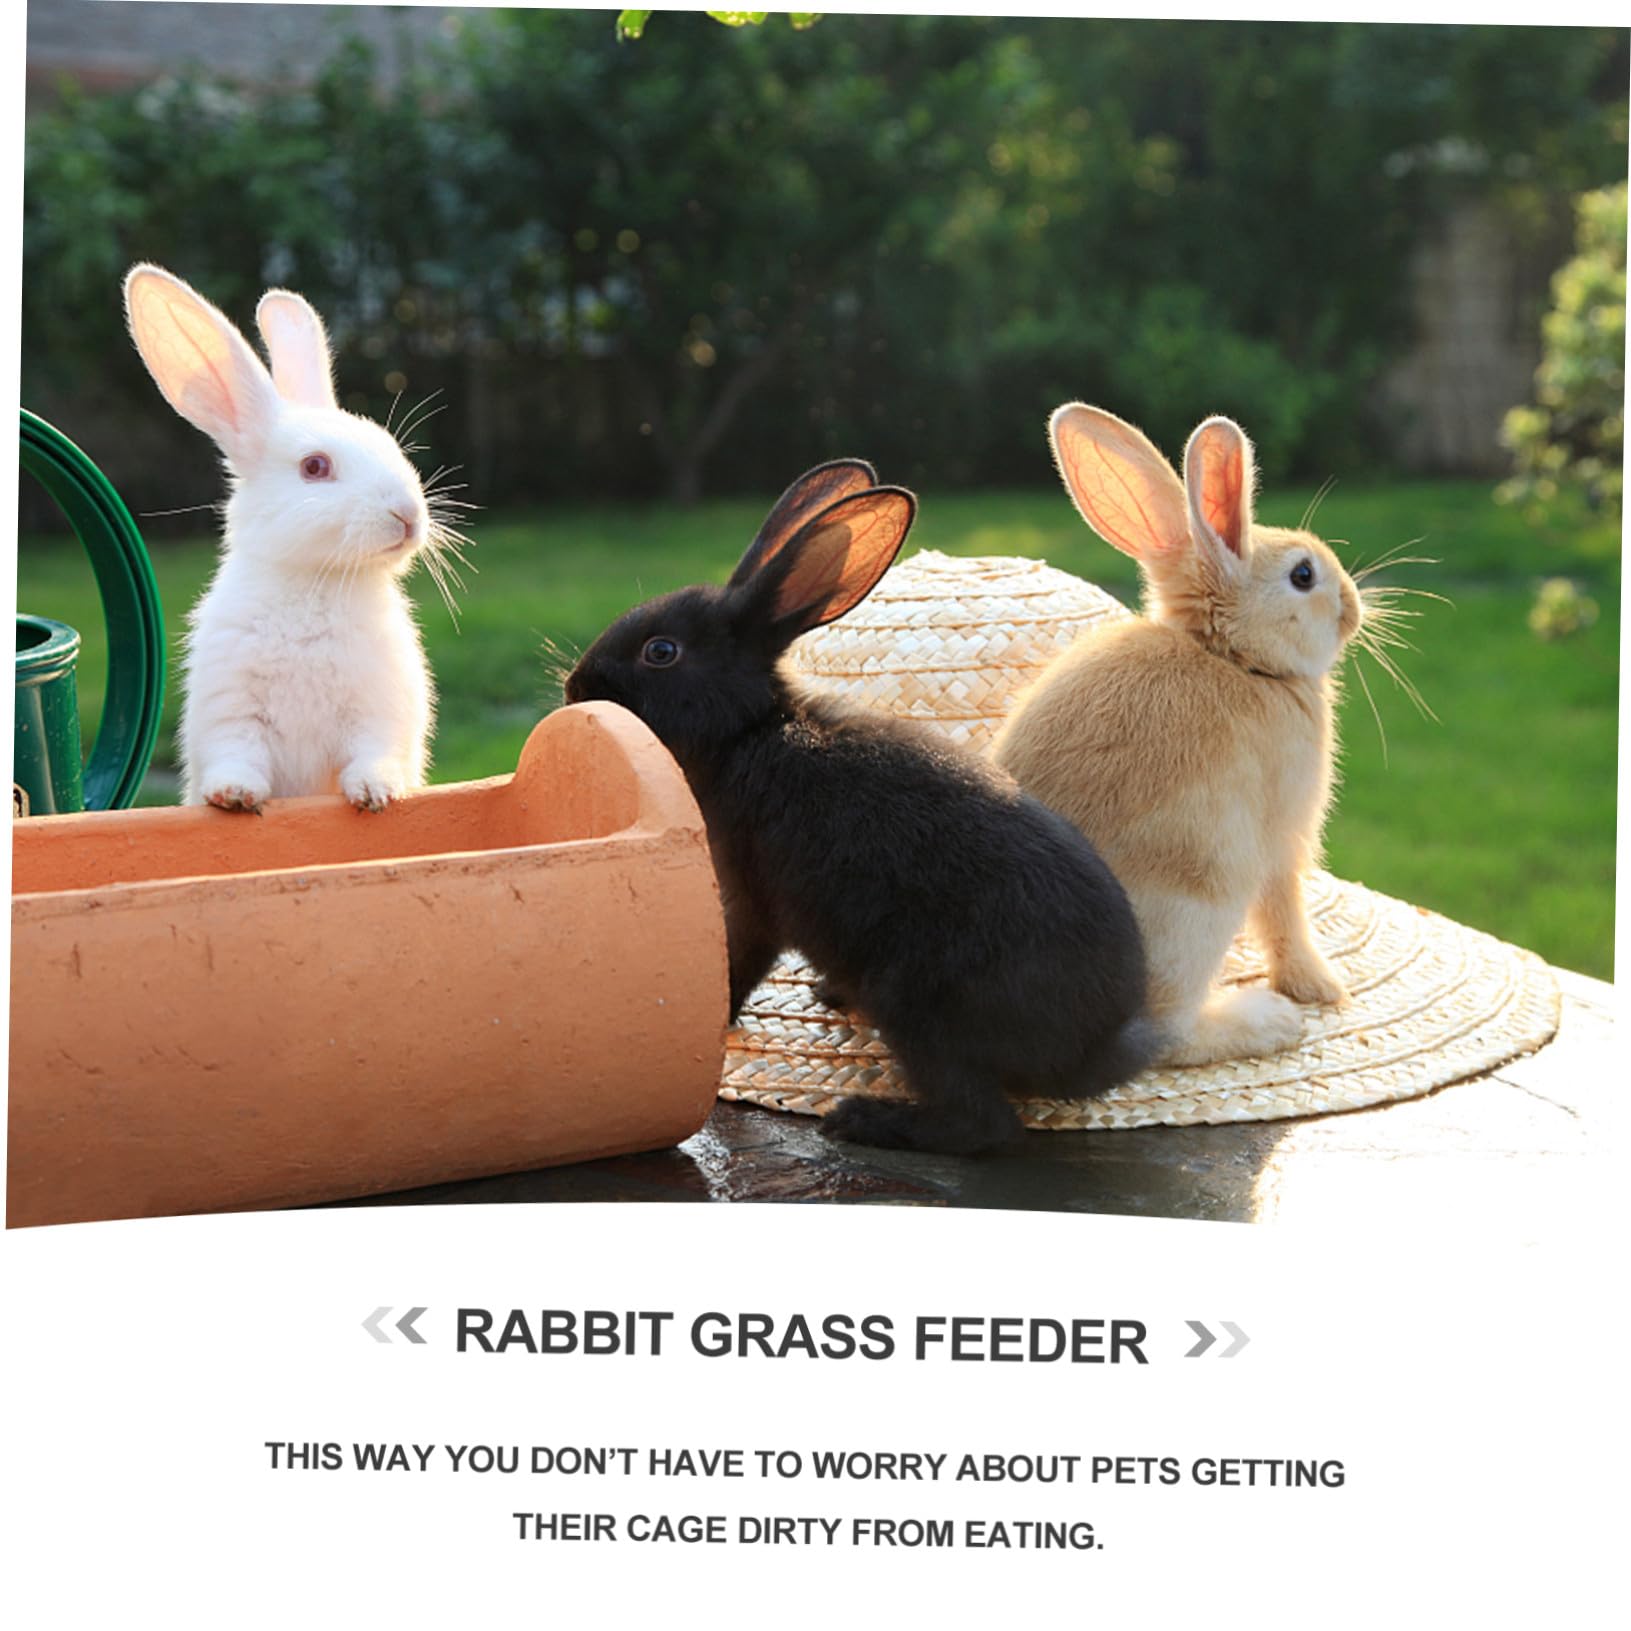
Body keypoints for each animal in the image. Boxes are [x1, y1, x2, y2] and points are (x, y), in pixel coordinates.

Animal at [123, 262, 446, 812]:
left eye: (388, 444)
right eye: (314, 467)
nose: (407, 514)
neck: (316, 583)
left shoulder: (378, 710)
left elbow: (372, 752)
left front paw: (375, 792)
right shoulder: (233, 710)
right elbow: (238, 754)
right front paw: (232, 795)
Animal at [564, 460, 1157, 1155]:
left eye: (661, 652)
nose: (575, 687)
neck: (749, 733)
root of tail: (1091, 1051)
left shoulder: (754, 901)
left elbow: (739, 964)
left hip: (917, 1003)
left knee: (983, 1126)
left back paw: (860, 1120)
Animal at [990, 404, 1364, 1068]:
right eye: (1303, 575)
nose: (1353, 606)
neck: (1237, 660)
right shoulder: (1280, 842)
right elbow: (1285, 916)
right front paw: (1320, 988)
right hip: (1198, 907)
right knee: (1163, 1035)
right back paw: (1267, 1022)